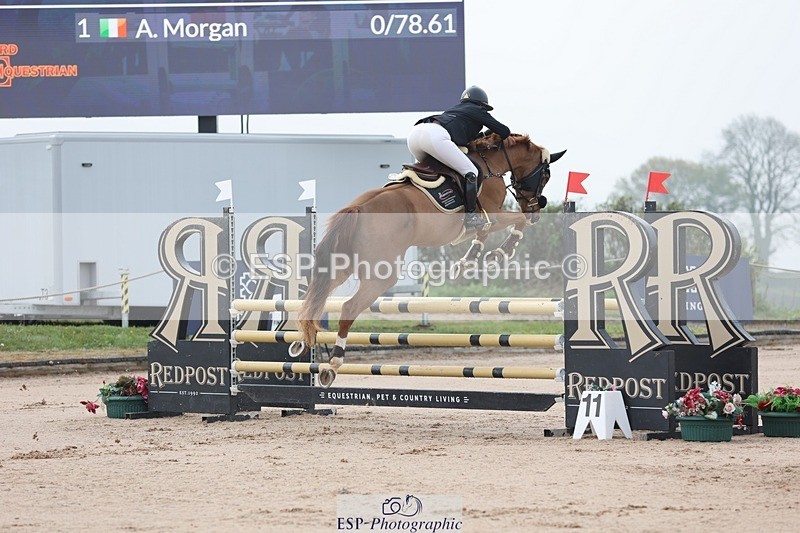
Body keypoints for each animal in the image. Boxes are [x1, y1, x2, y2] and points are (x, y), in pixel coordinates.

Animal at [298, 132, 565, 385]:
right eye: (545, 176)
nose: (535, 211)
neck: (491, 163)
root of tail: (358, 209)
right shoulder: (494, 215)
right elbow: (516, 222)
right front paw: (501, 252)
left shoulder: (487, 220)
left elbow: (482, 234)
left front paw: (468, 262)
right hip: (382, 276)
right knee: (348, 308)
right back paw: (333, 363)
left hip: (342, 268)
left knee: (314, 300)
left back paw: (306, 342)